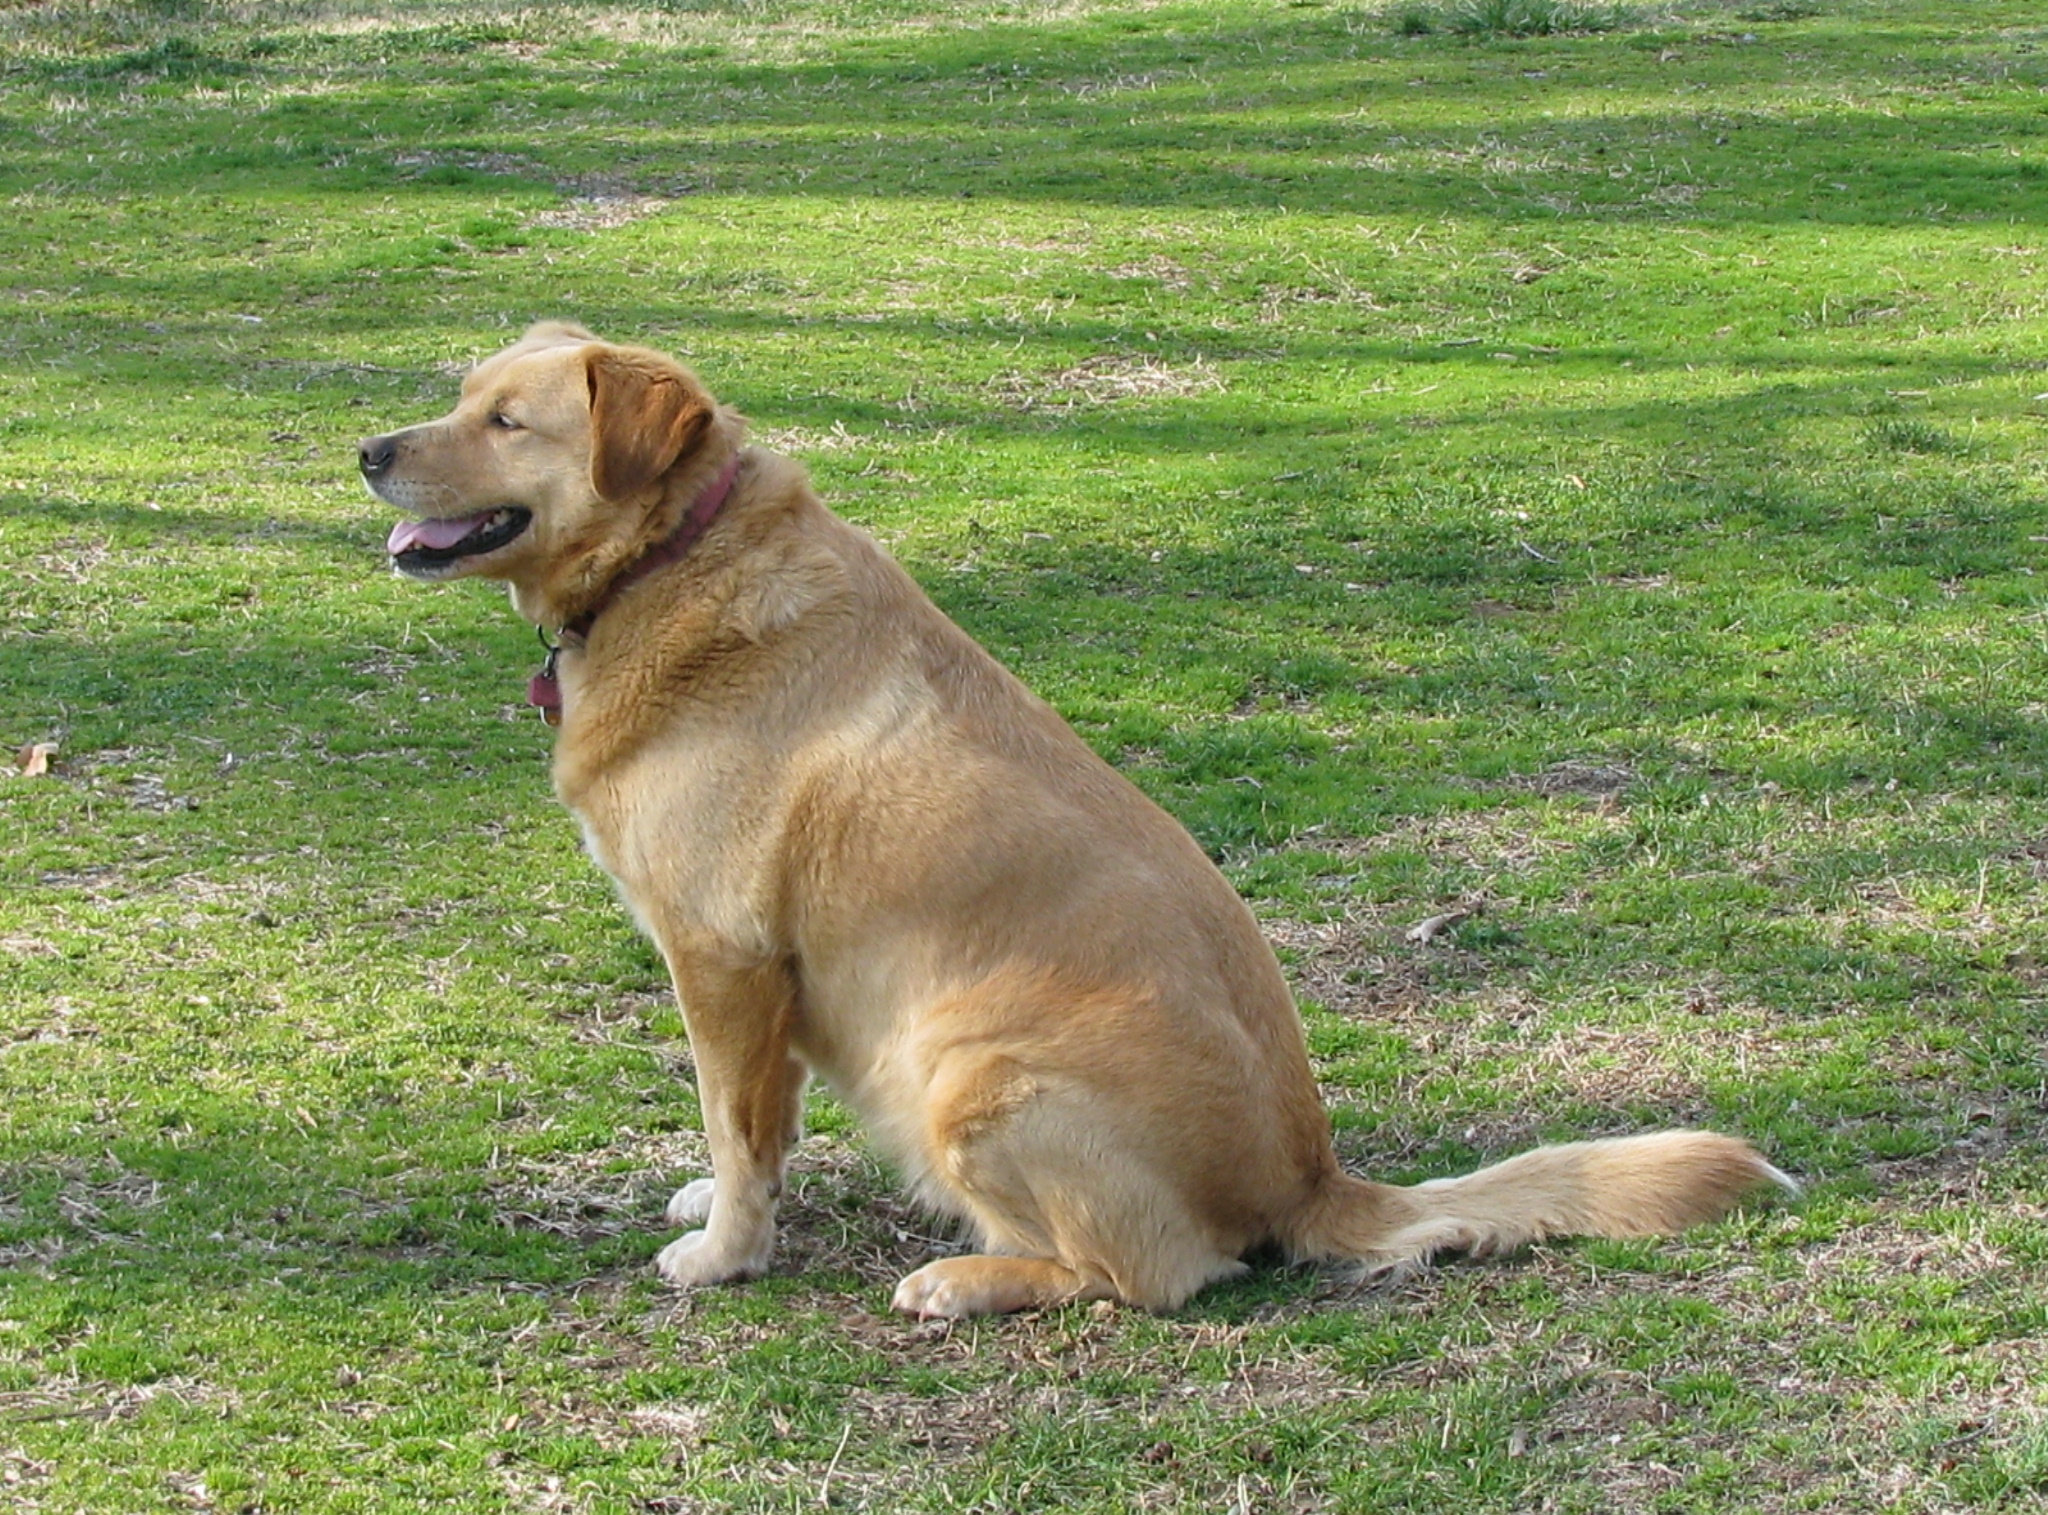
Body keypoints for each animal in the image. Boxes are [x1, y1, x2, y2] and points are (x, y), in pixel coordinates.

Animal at [359, 322, 1794, 1318]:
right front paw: (720, 1206)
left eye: (507, 419)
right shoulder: (760, 985)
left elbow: (736, 1121)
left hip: (966, 1065)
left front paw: (722, 1253)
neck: (673, 560)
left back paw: (968, 1280)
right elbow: (754, 1123)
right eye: (464, 393)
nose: (367, 451)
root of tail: (1311, 1176)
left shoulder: (723, 957)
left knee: (1156, 1273)